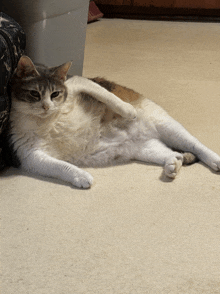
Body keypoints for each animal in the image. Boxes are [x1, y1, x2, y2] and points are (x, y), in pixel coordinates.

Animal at [7, 55, 220, 188]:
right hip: (145, 150)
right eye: (34, 94)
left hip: (168, 126)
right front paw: (81, 176)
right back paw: (172, 165)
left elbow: (107, 96)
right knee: (173, 154)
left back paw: (214, 160)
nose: (46, 107)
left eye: (55, 94)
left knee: (197, 145)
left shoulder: (78, 83)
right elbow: (60, 166)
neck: (48, 121)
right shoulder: (31, 156)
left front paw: (128, 111)